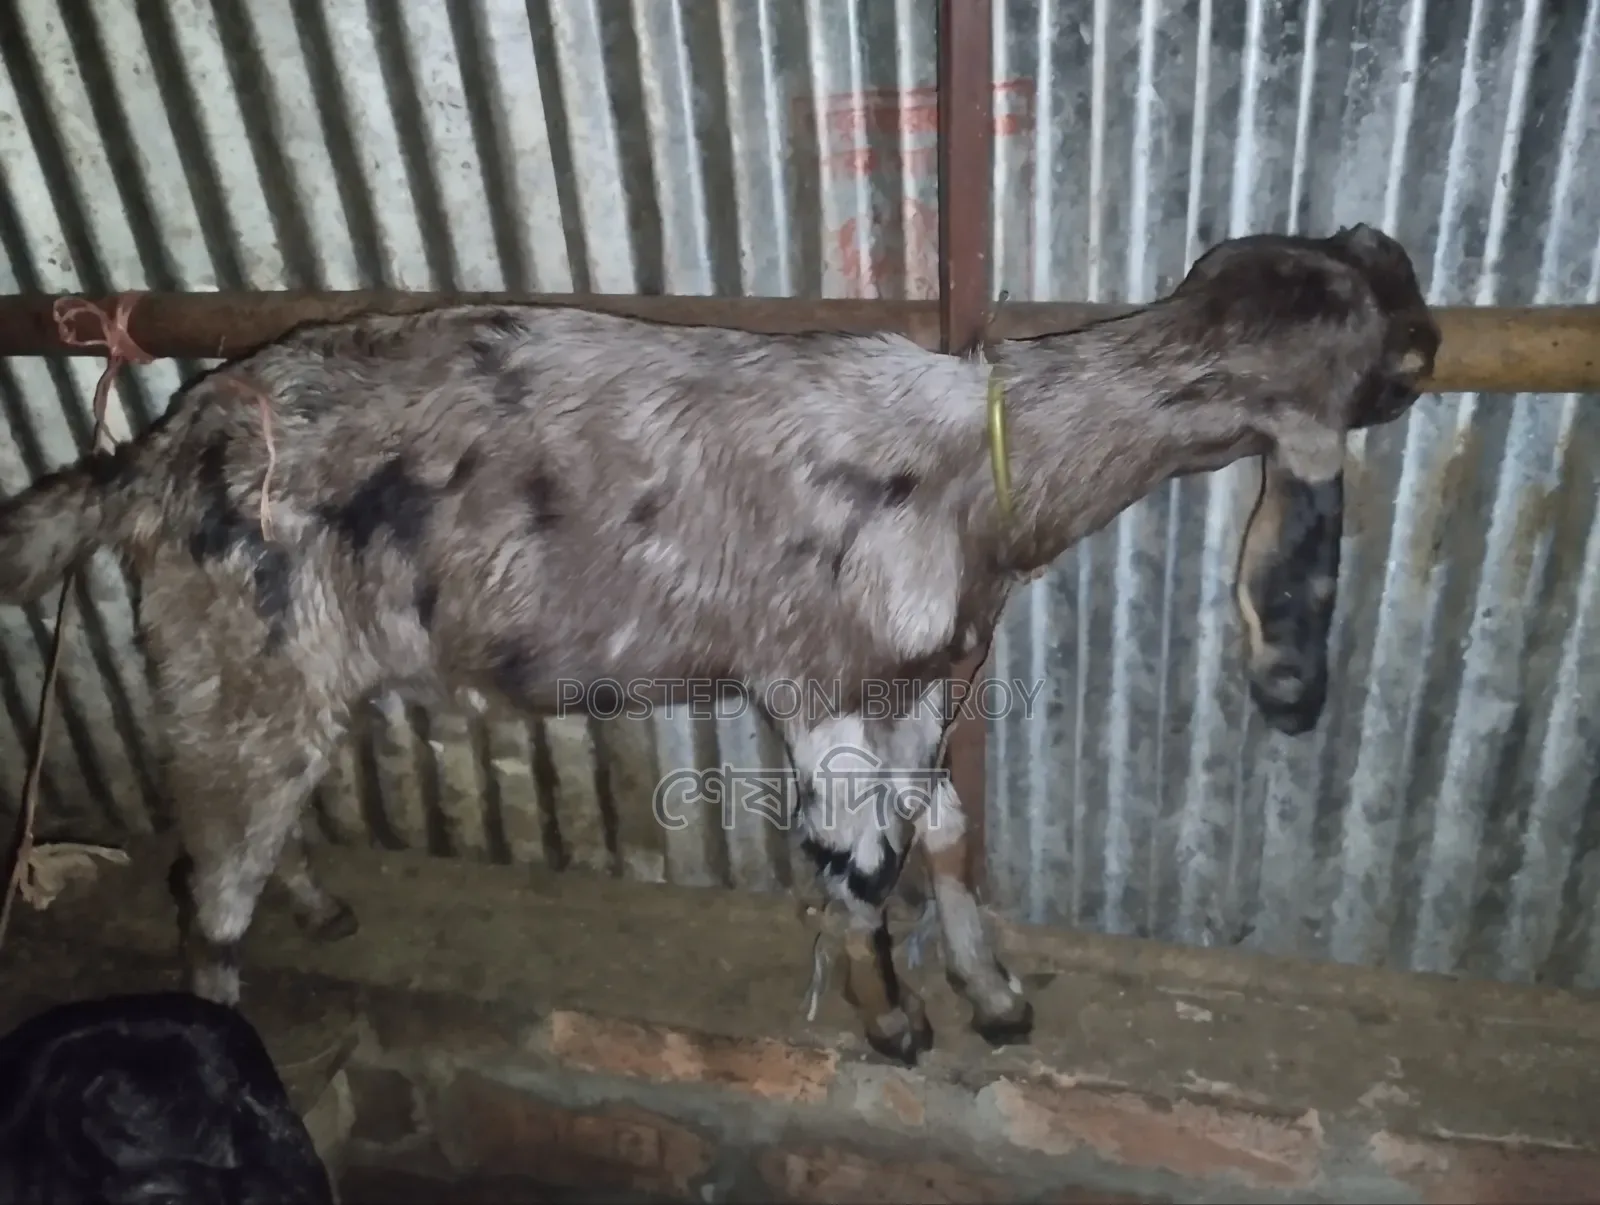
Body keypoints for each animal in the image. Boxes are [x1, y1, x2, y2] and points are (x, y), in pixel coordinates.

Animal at [0, 224, 1438, 1066]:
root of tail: (153, 460)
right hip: (235, 662)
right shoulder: (812, 678)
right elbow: (862, 862)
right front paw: (895, 1019)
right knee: (213, 884)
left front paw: (993, 995)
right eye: (1403, 356)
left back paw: (317, 901)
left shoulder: (921, 682)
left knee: (241, 839)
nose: (1433, 332)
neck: (978, 470)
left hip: (279, 677)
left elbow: (945, 828)